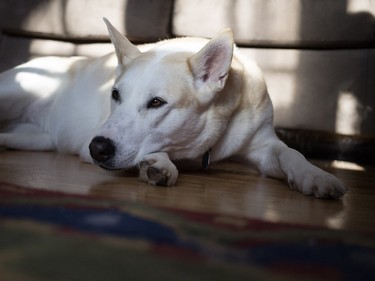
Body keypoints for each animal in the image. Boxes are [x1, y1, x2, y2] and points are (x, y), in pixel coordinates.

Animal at [0, 18, 348, 198]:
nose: (97, 147)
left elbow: (291, 153)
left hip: (33, 139)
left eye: (157, 103)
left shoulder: (263, 145)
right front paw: (159, 164)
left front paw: (316, 176)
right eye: (115, 95)